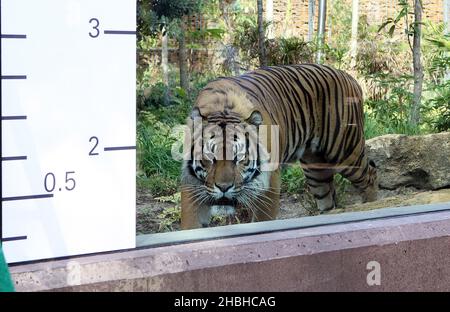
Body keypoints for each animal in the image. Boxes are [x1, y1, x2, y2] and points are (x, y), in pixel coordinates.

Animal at [179, 63, 376, 229]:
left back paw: (371, 206)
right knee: (328, 198)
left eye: (240, 158)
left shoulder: (269, 187)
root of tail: (349, 76)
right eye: (210, 158)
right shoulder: (192, 186)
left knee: (370, 174)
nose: (224, 188)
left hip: (345, 151)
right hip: (316, 170)